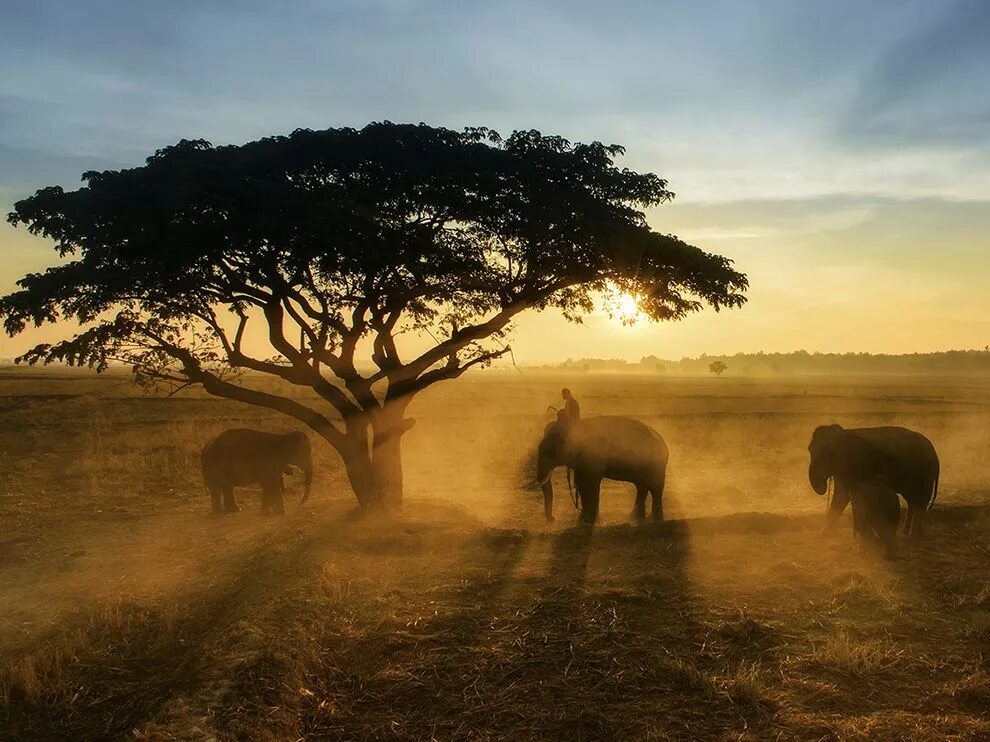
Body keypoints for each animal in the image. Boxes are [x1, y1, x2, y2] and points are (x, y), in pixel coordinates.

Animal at [540, 416, 672, 528]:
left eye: (551, 451)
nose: (553, 519)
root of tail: (663, 441)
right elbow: (581, 483)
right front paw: (583, 520)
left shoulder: (594, 457)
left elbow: (590, 484)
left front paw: (588, 522)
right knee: (642, 487)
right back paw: (636, 518)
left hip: (657, 464)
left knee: (655, 488)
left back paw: (656, 521)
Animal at [808, 424, 940, 540]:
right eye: (809, 450)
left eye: (827, 454)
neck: (844, 433)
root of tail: (934, 452)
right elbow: (841, 495)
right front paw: (825, 535)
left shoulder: (852, 467)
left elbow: (842, 496)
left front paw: (824, 535)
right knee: (912, 500)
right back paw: (906, 533)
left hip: (923, 473)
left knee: (920, 501)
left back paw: (916, 537)